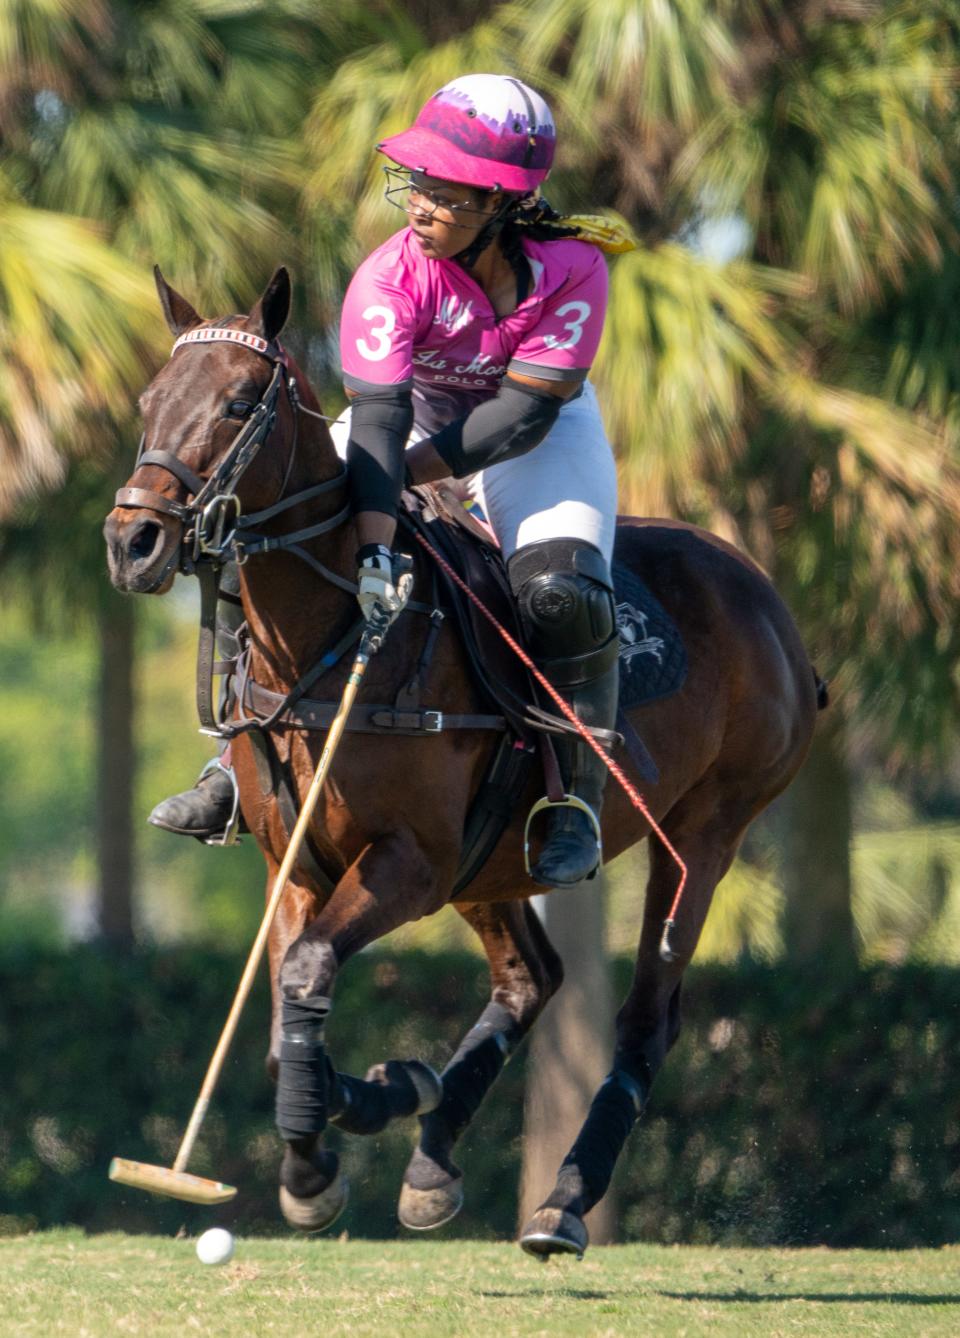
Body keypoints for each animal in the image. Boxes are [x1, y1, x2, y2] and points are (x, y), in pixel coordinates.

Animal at [106, 268, 824, 1252]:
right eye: (149, 401)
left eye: (241, 402)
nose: (130, 542)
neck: (329, 644)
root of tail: (766, 599)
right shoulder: (295, 860)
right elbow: (287, 1017)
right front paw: (360, 1112)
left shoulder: (412, 861)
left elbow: (304, 975)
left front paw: (323, 1160)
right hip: (494, 860)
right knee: (532, 977)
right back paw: (430, 1153)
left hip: (705, 834)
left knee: (646, 1018)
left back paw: (562, 1203)